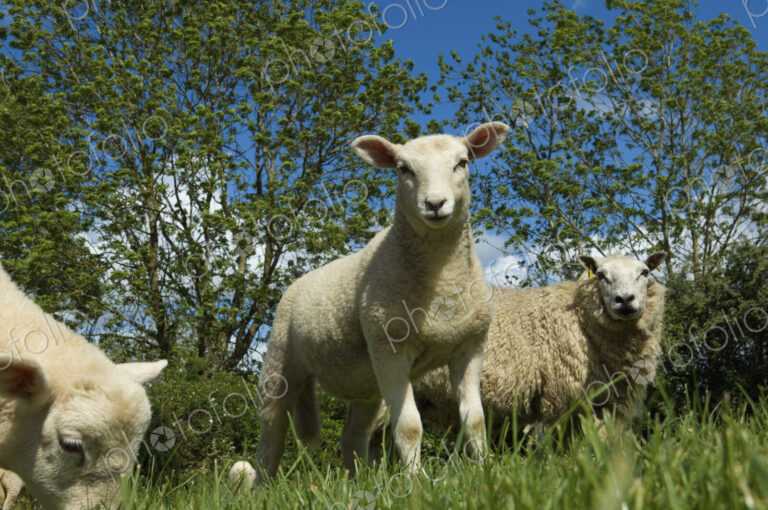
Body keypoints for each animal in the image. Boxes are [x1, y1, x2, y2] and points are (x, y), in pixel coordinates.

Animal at [228, 122, 510, 486]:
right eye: (403, 169)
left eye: (462, 163)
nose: (435, 204)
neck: (442, 282)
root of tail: (298, 283)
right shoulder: (389, 349)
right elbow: (409, 427)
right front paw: (416, 482)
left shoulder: (470, 346)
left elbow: (474, 419)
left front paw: (486, 471)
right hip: (280, 360)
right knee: (271, 432)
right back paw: (264, 486)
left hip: (365, 383)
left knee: (352, 434)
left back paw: (357, 483)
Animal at [414, 252, 667, 436]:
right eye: (601, 275)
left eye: (644, 272)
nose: (625, 300)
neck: (579, 318)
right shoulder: (565, 397)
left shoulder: (608, 402)